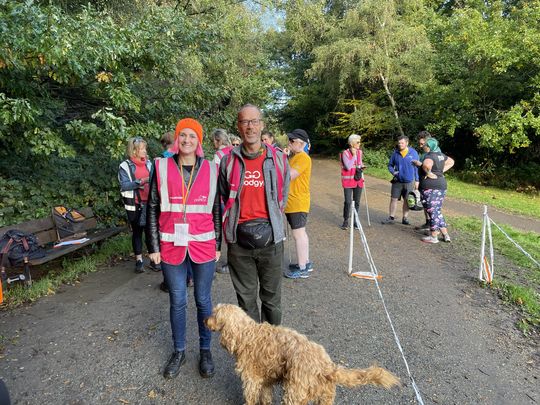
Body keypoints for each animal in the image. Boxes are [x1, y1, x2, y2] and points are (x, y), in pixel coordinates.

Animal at [205, 304, 398, 404]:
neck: (246, 334)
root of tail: (326, 366)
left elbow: (251, 397)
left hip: (294, 392)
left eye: (214, 315)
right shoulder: (266, 380)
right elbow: (266, 397)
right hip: (324, 397)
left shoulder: (251, 380)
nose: (204, 320)